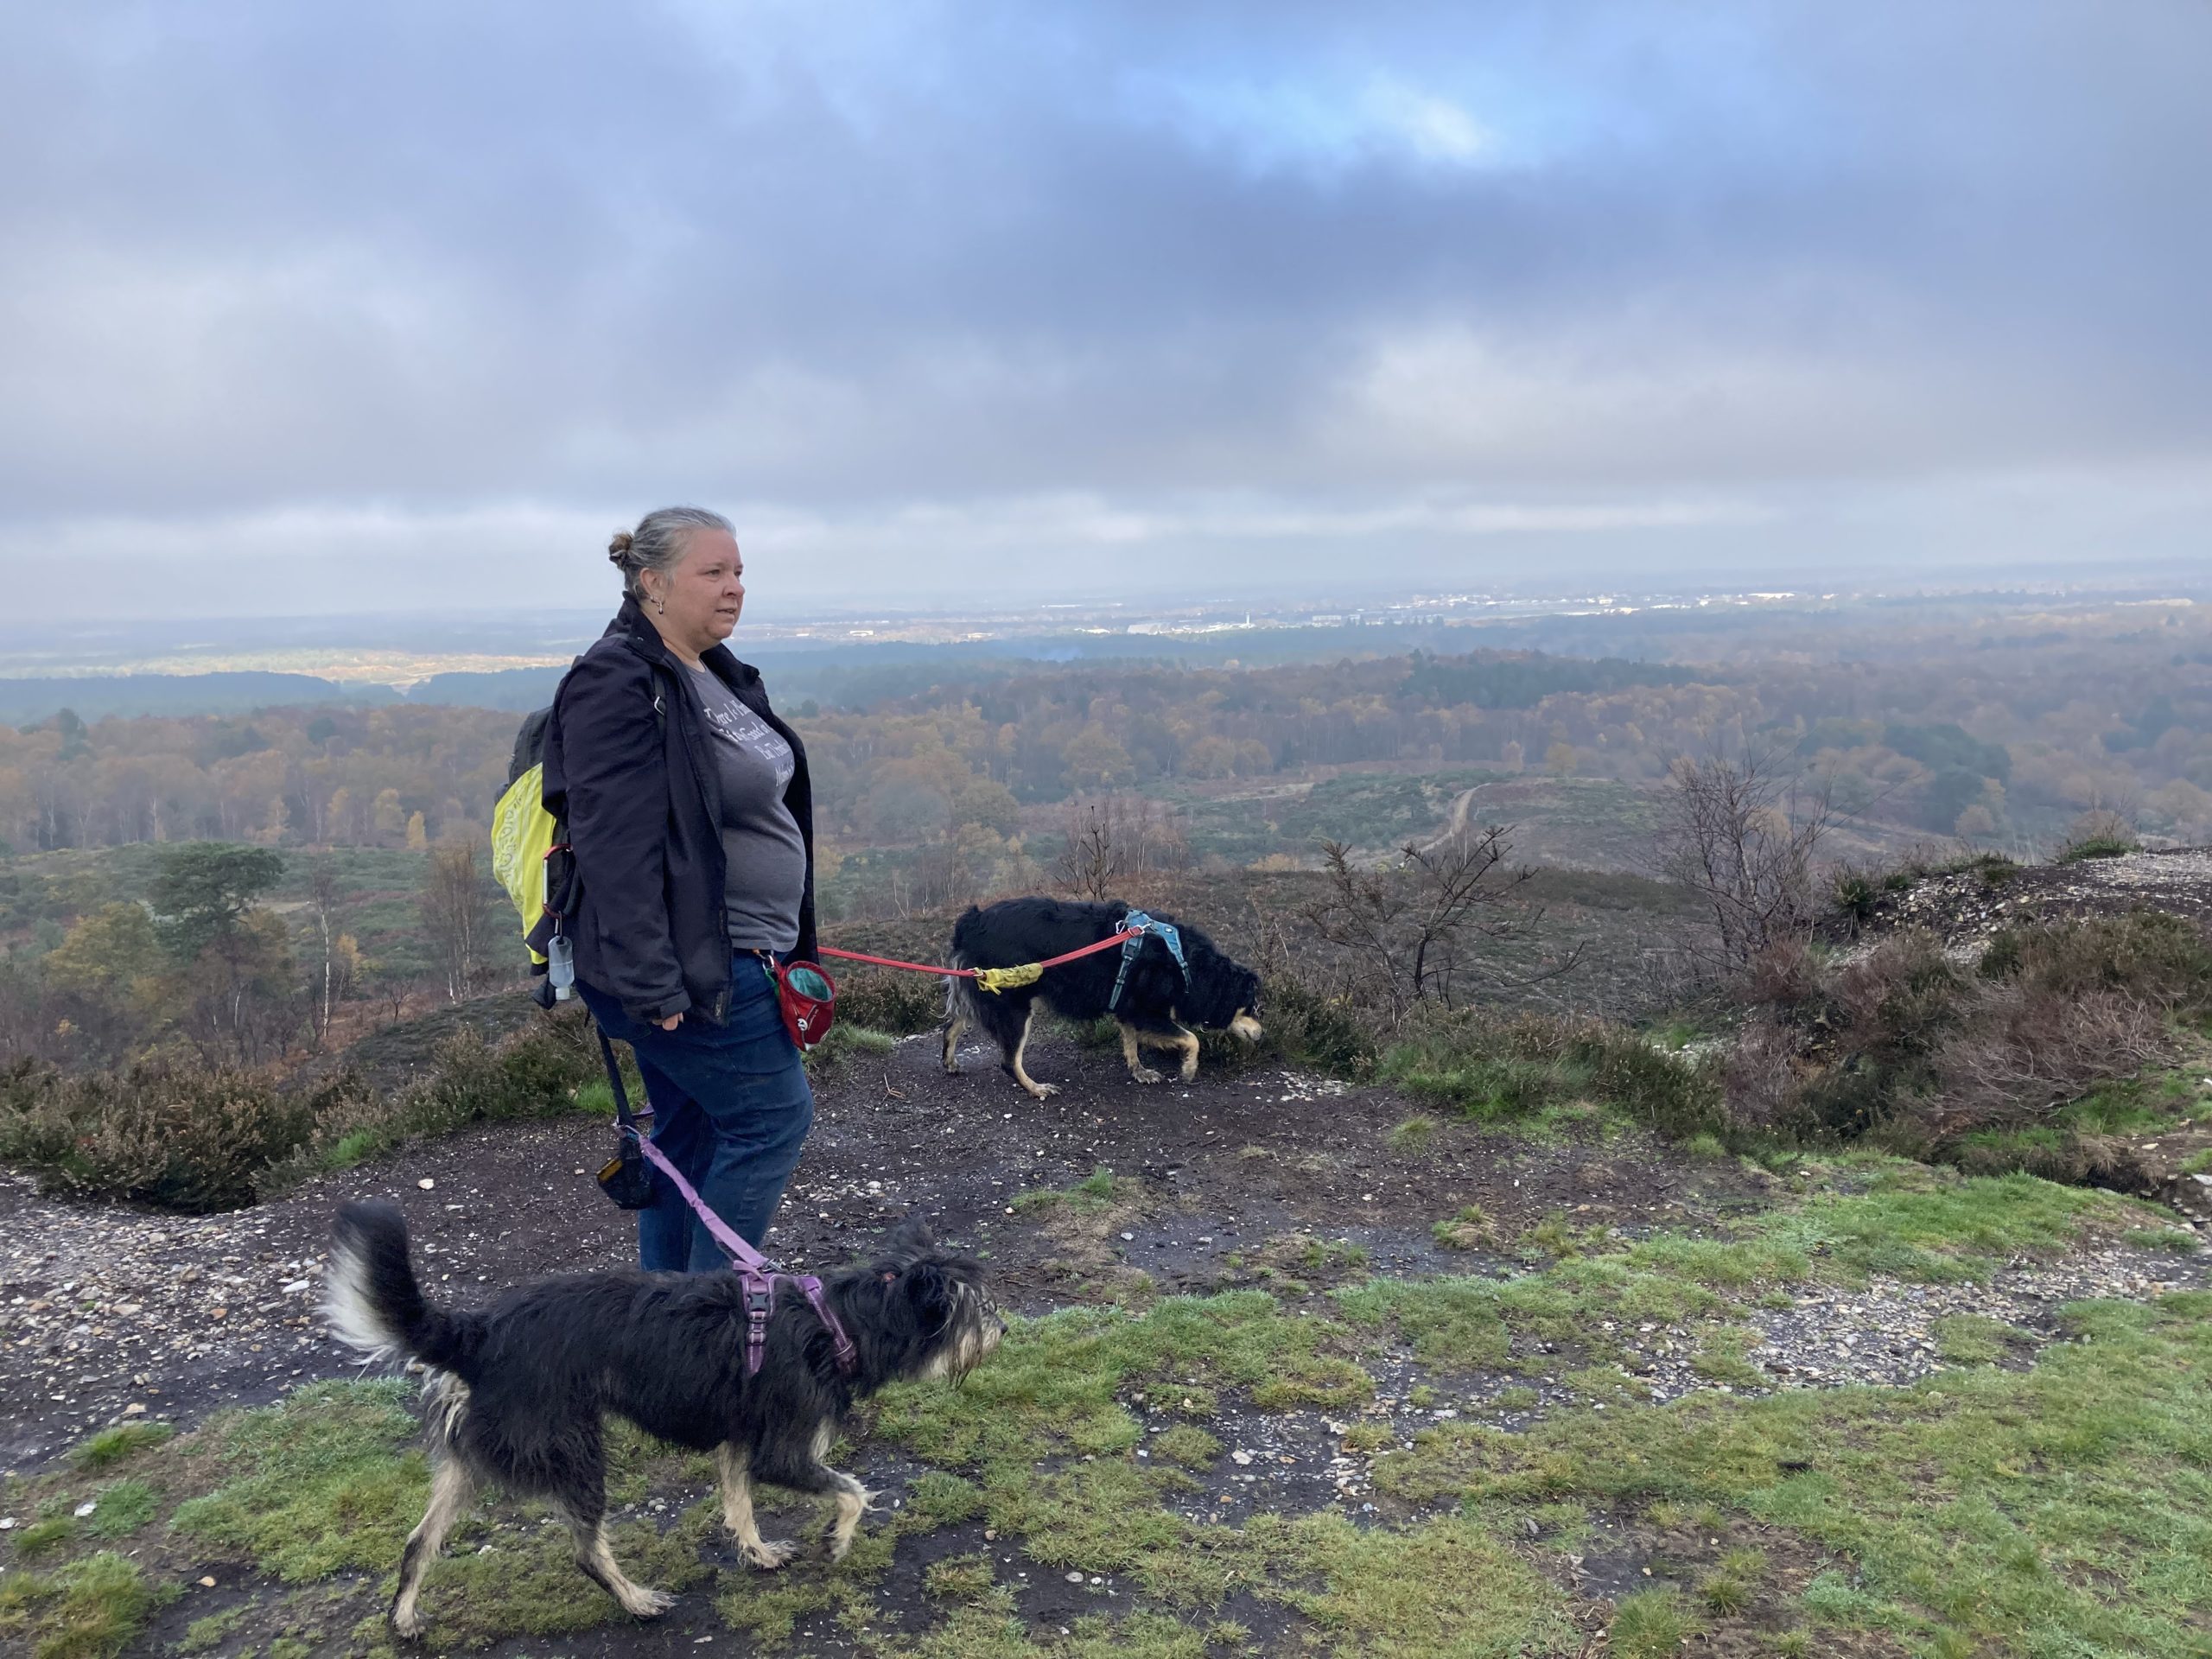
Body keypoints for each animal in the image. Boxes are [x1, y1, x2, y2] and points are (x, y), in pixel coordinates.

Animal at [322, 1203, 1008, 1645]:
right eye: (975, 1309)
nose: (1004, 1329)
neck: (838, 1321)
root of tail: (478, 1333)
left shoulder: (740, 1438)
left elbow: (738, 1503)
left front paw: (758, 1552)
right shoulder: (783, 1452)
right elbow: (853, 1492)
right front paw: (837, 1541)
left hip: (474, 1461)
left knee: (418, 1541)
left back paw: (403, 1617)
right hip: (575, 1450)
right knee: (586, 1550)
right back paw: (636, 1601)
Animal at [946, 902, 1274, 1096]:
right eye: (1252, 1007)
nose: (1262, 1034)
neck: (1184, 961)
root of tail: (972, 920)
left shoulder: (1128, 1005)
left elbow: (1130, 1042)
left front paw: (1139, 1071)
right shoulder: (1145, 1011)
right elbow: (1191, 1038)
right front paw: (1189, 1069)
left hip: (985, 985)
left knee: (953, 1024)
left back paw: (950, 1062)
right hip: (1014, 1004)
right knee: (1008, 1060)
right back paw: (1036, 1088)